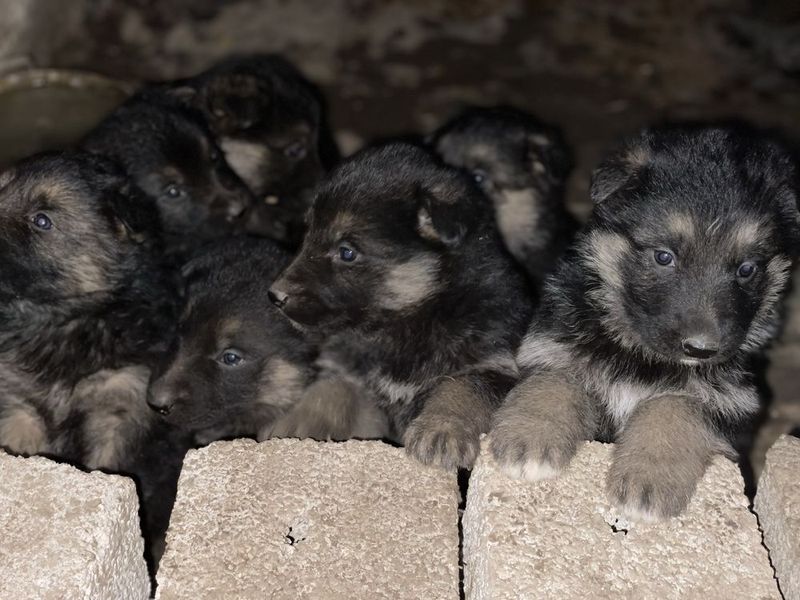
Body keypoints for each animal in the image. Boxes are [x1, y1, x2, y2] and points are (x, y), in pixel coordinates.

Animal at [268, 142, 532, 468]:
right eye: (308, 235)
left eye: (346, 252)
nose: (275, 295)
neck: (412, 318)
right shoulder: (354, 370)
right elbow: (333, 384)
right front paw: (299, 419)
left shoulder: (496, 365)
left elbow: (461, 386)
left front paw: (442, 427)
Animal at [488, 126, 800, 520]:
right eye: (663, 256)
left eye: (747, 269)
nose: (701, 349)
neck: (638, 351)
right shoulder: (551, 344)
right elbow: (555, 379)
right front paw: (530, 435)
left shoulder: (729, 400)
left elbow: (673, 406)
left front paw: (648, 477)